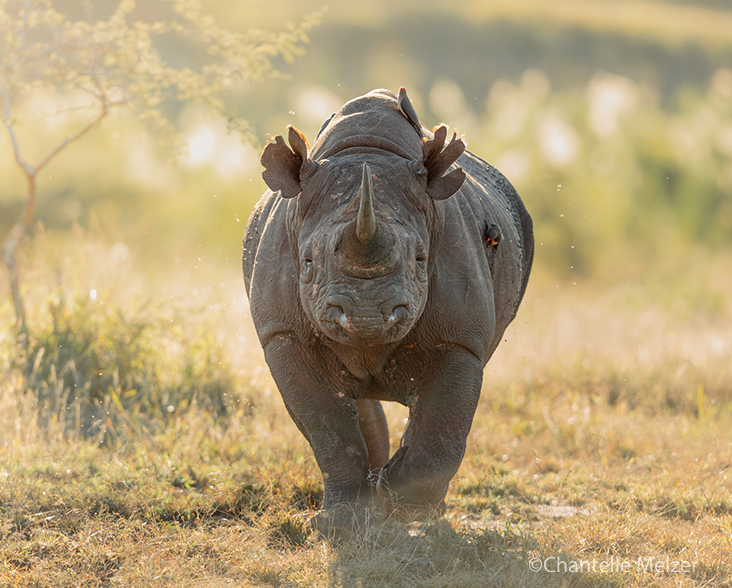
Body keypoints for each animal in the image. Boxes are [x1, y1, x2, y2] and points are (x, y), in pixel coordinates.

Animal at [243, 88, 536, 532]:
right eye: (307, 263)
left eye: (420, 259)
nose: (366, 317)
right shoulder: (282, 333)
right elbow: (326, 428)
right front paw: (342, 521)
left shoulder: (459, 338)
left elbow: (445, 420)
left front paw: (406, 503)